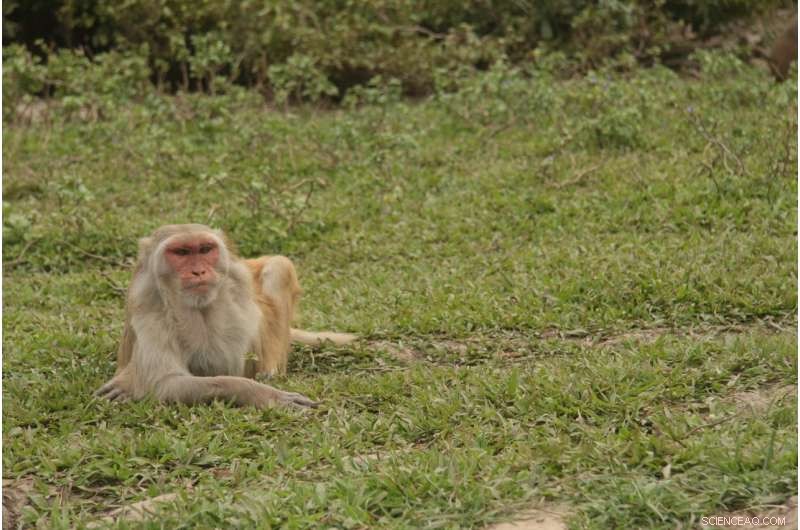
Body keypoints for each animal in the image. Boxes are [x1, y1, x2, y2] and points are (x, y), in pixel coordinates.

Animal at [96, 224, 356, 409]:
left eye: (204, 249)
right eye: (181, 252)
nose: (198, 271)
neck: (199, 307)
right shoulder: (151, 316)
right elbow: (166, 383)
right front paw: (259, 393)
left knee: (278, 267)